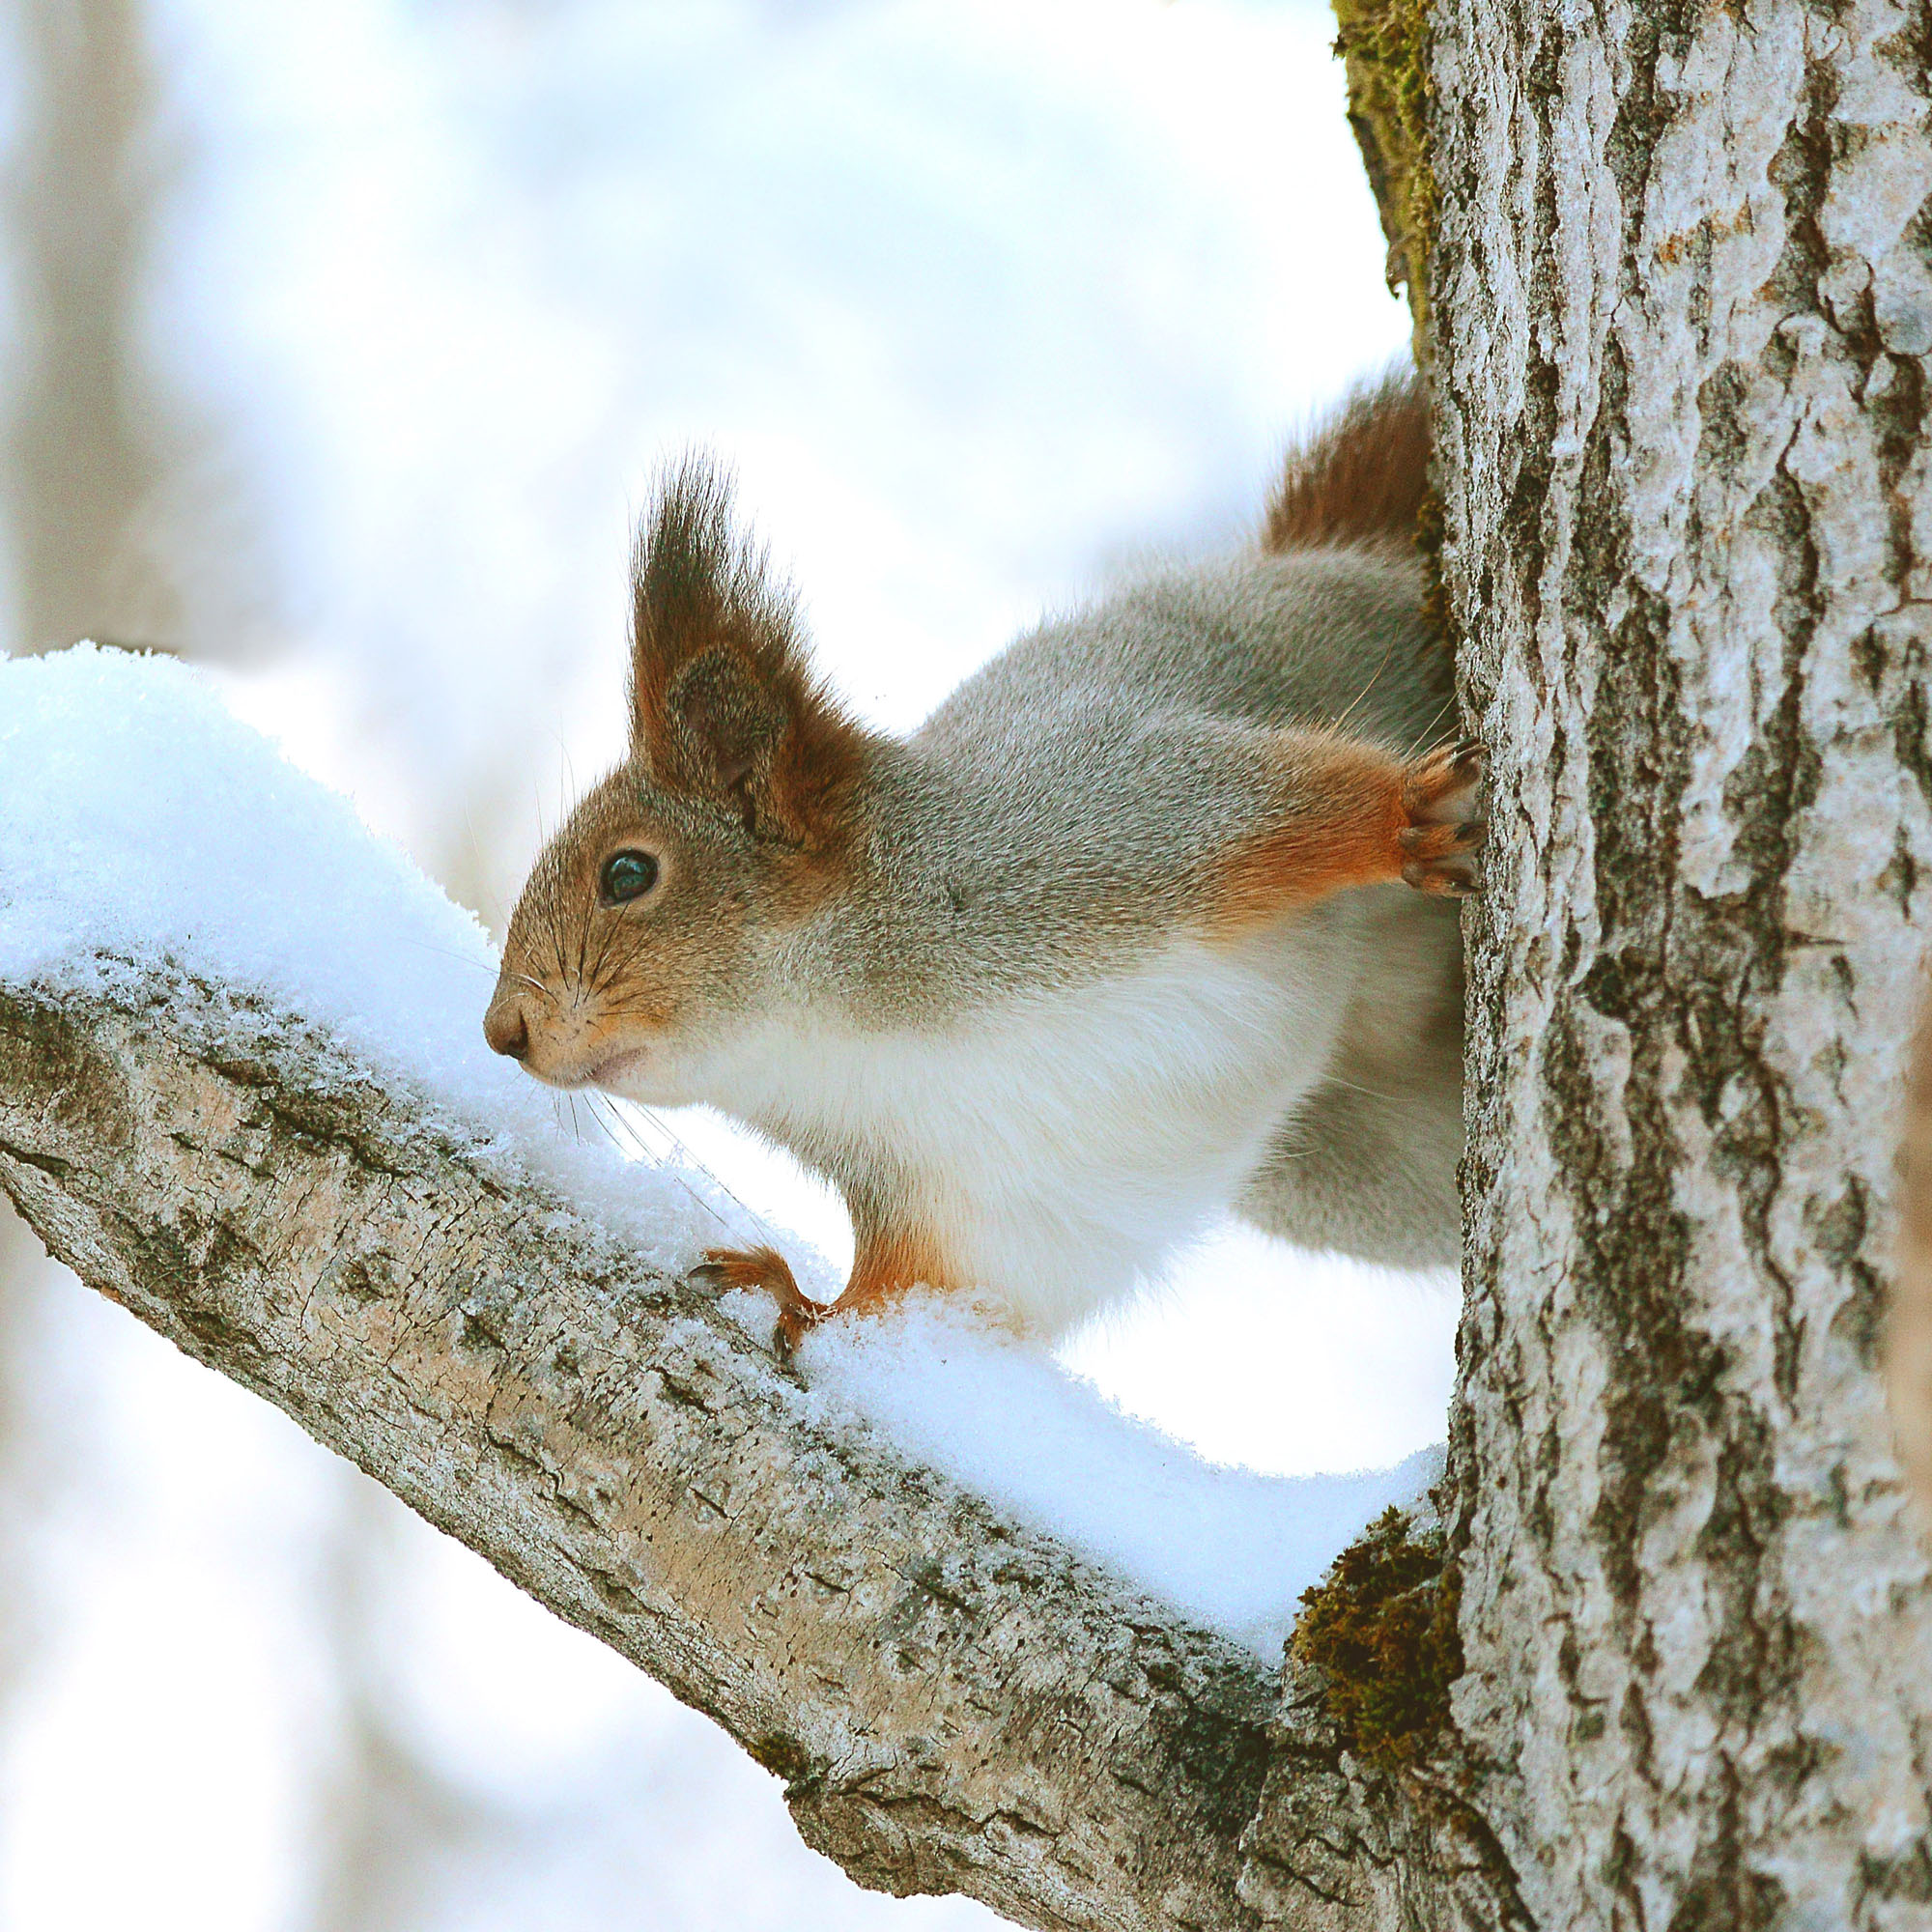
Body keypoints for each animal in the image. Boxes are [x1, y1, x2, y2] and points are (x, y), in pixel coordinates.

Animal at [483, 369, 1476, 1352]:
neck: (846, 1036)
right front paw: (788, 1295)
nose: (504, 1033)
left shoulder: (1111, 833)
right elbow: (916, 1298)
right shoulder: (972, 1204)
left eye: (627, 875)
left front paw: (1408, 822)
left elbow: (1287, 805)